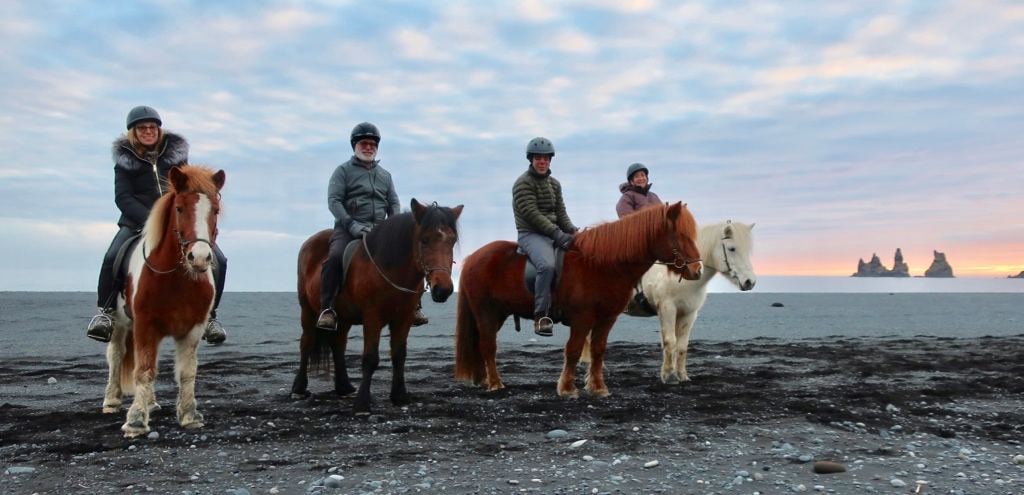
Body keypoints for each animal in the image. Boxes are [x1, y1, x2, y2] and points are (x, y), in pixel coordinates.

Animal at [100, 166, 225, 438]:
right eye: (179, 208)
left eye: (215, 210)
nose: (200, 257)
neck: (176, 278)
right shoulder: (146, 324)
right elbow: (144, 370)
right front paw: (136, 420)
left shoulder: (193, 328)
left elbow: (187, 372)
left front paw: (189, 416)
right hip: (121, 322)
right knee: (117, 355)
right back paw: (112, 400)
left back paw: (150, 402)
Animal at [290, 199, 462, 416]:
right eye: (424, 240)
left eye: (452, 241)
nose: (444, 289)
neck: (390, 269)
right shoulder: (373, 317)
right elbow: (370, 359)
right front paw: (363, 405)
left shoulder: (403, 318)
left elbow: (399, 356)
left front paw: (400, 396)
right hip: (308, 311)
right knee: (306, 343)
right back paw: (298, 389)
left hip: (344, 318)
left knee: (338, 345)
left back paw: (344, 387)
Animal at [456, 201, 704, 399]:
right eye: (681, 235)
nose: (697, 270)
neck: (602, 264)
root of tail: (472, 258)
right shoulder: (582, 318)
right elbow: (574, 350)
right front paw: (567, 388)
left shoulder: (607, 318)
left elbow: (597, 350)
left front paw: (598, 387)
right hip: (486, 313)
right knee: (488, 346)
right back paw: (496, 384)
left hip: (496, 314)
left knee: (480, 344)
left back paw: (483, 380)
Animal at [622, 222, 753, 385]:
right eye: (731, 248)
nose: (750, 281)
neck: (684, 274)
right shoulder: (667, 309)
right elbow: (670, 341)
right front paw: (669, 376)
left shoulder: (689, 314)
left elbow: (681, 345)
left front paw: (682, 375)